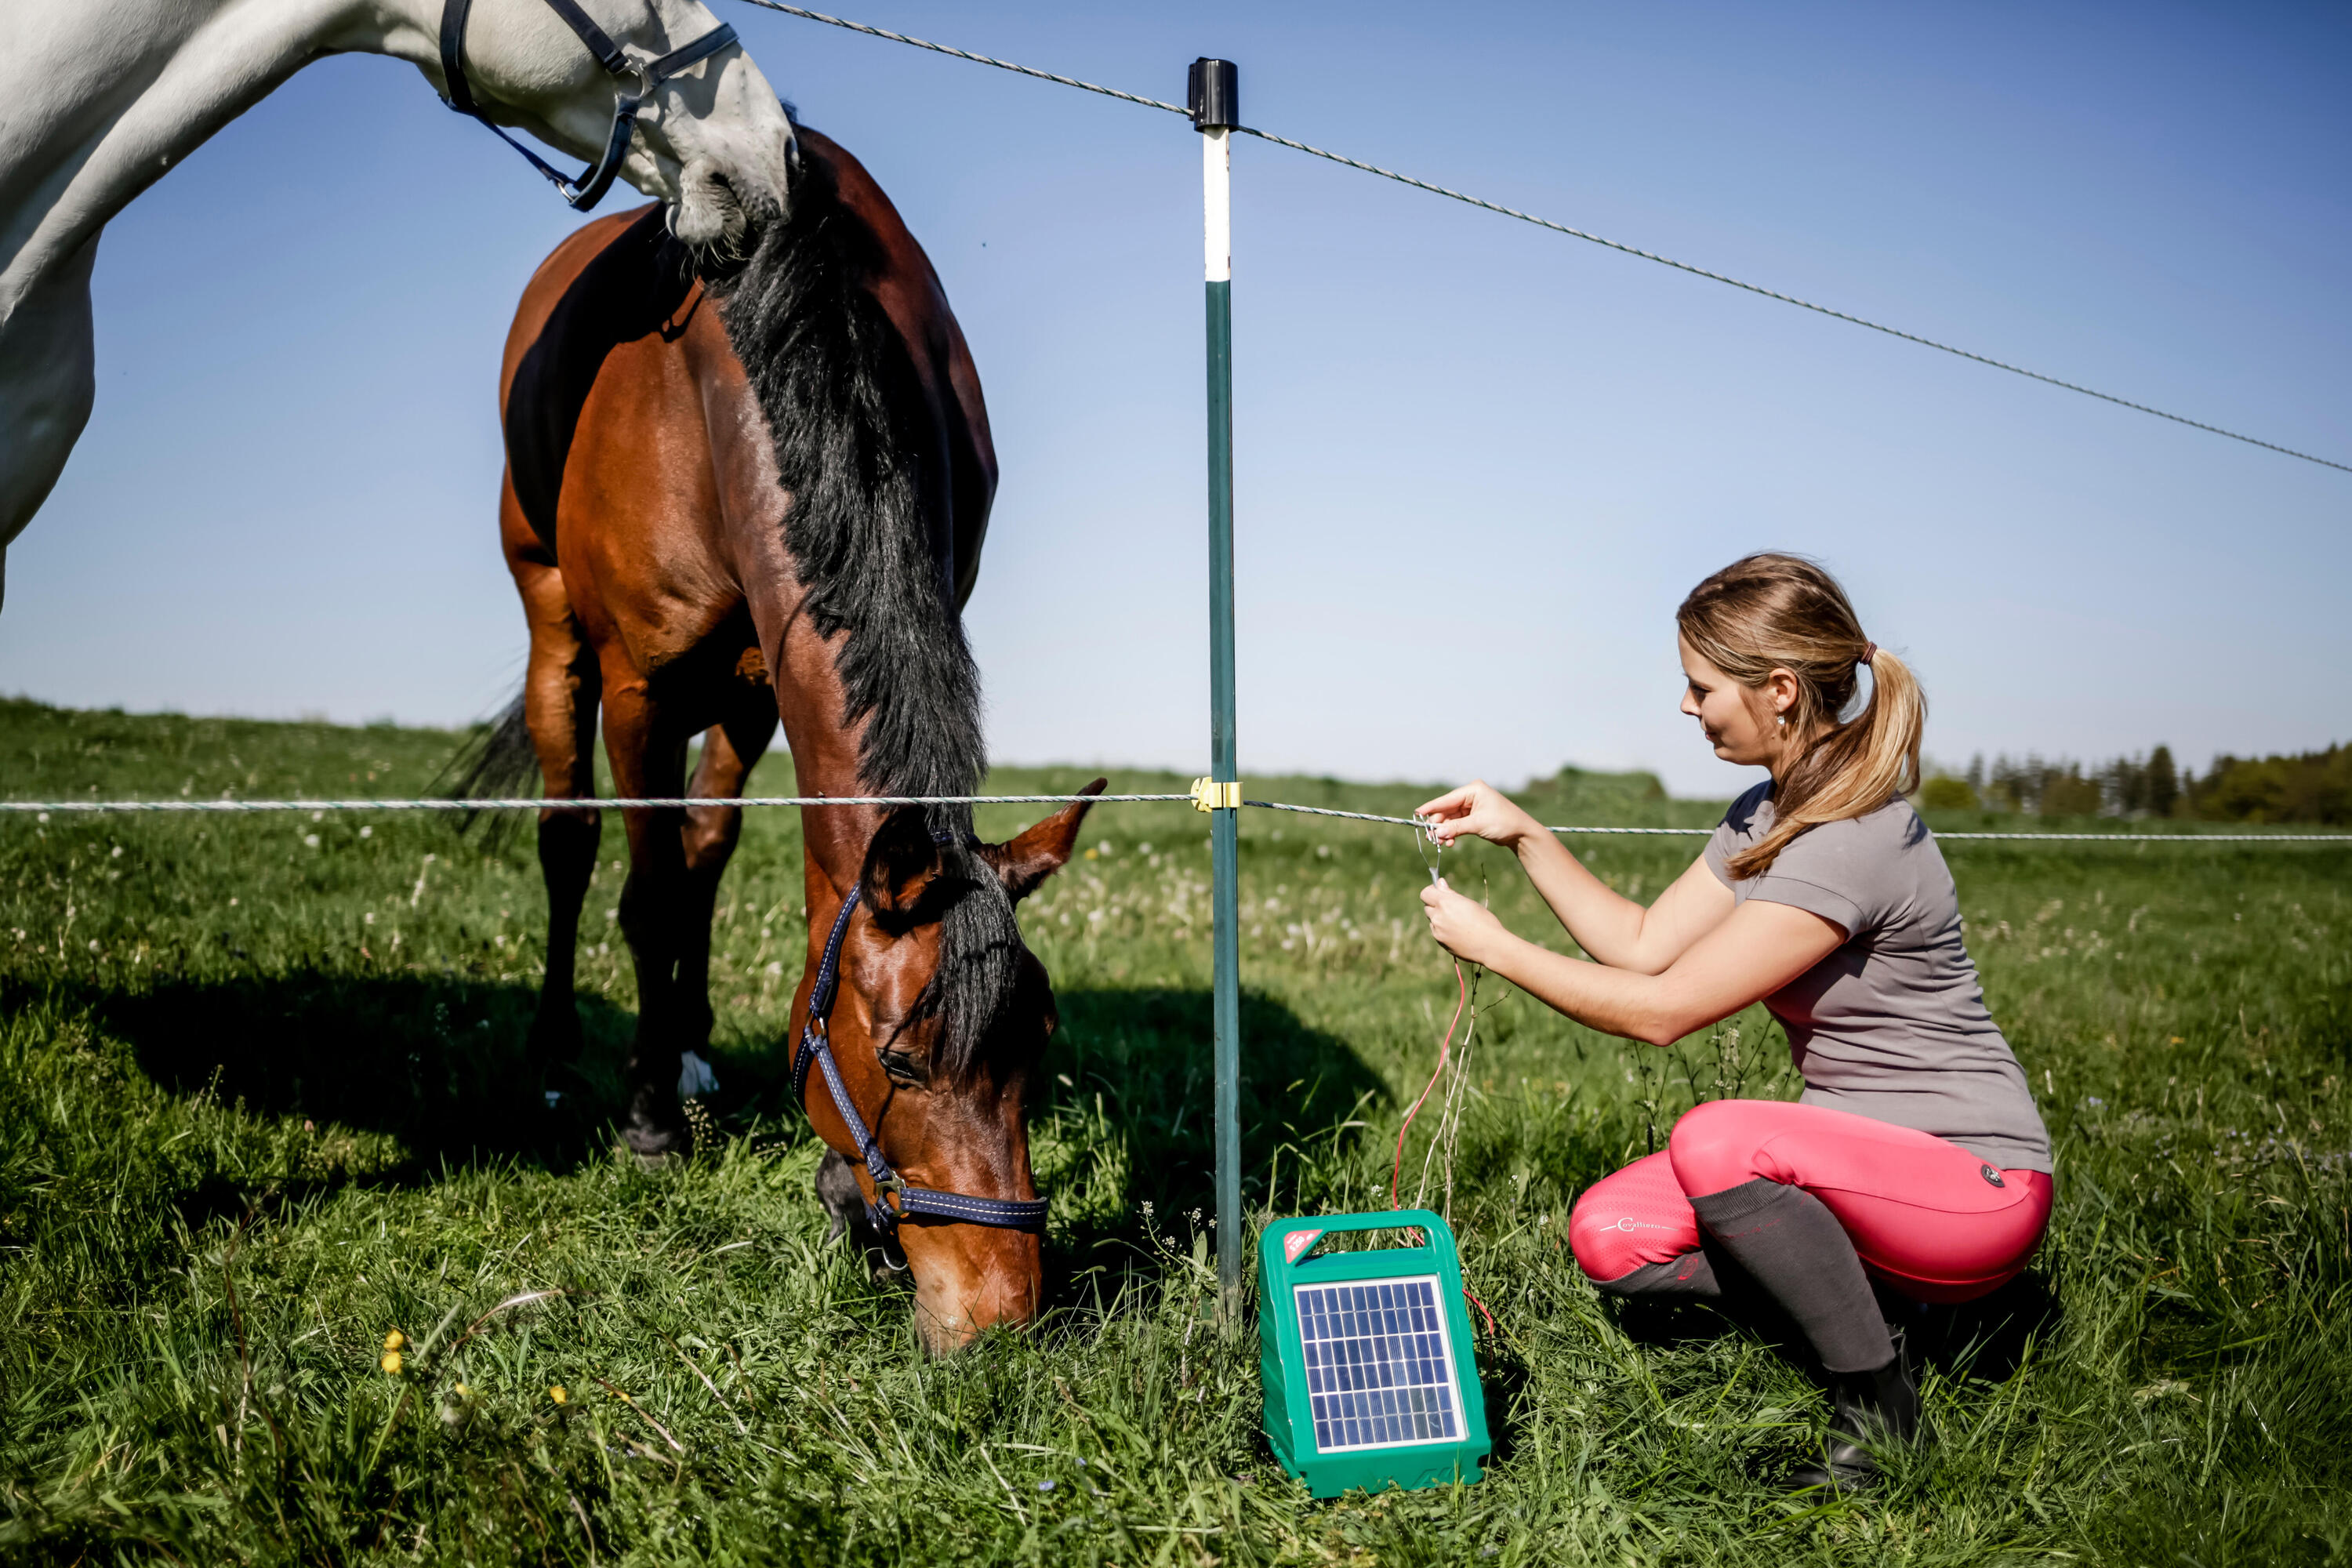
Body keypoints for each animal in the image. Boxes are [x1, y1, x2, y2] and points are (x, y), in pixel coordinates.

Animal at [472, 122, 1097, 1350]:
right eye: (902, 1060)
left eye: (1041, 1041)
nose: (1002, 1317)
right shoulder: (642, 683)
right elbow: (647, 894)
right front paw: (648, 1120)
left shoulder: (767, 679)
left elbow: (716, 865)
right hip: (555, 625)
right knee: (573, 838)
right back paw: (565, 1056)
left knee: (706, 848)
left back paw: (690, 1044)